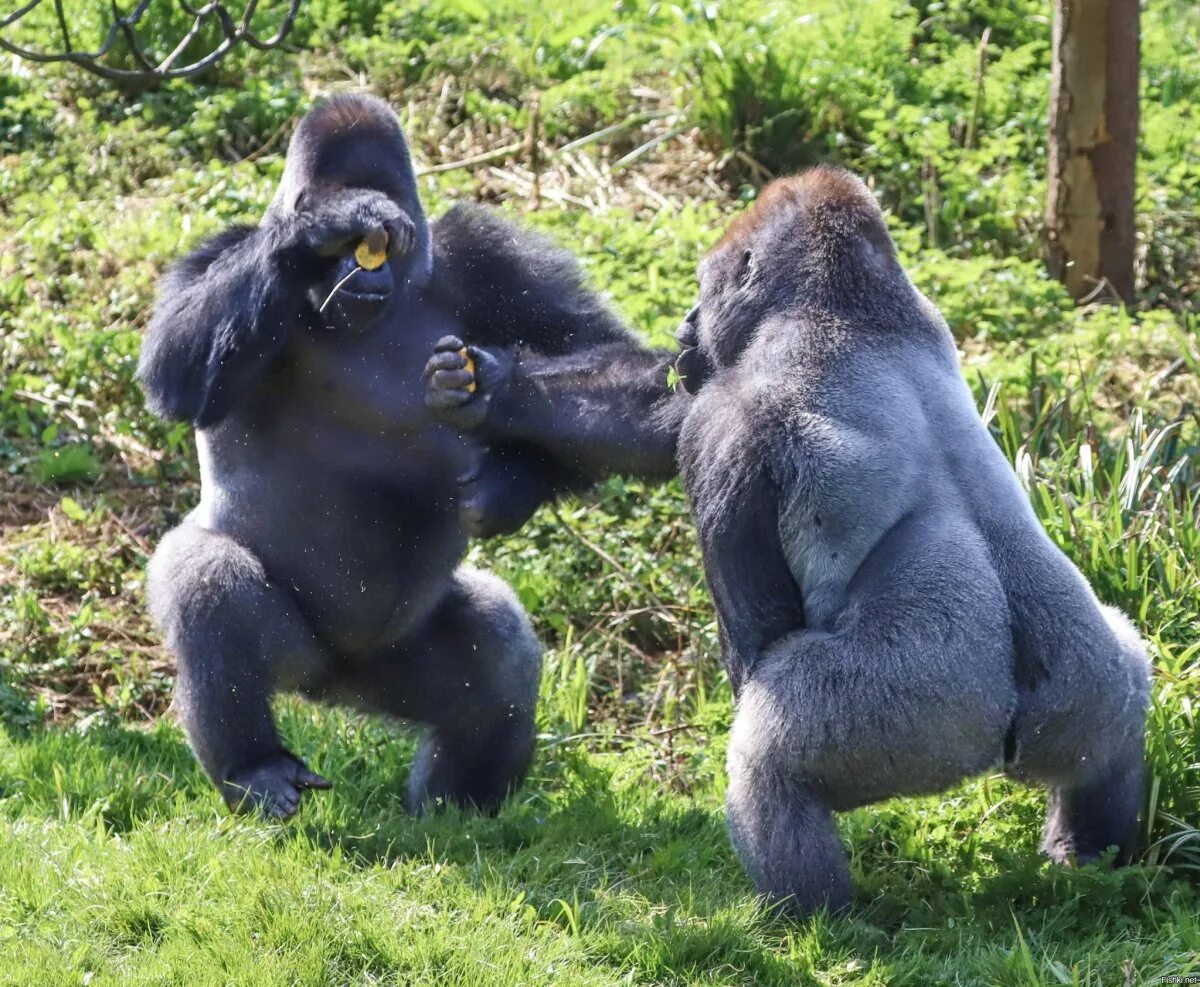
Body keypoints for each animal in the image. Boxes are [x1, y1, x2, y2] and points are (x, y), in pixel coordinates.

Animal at [137, 94, 681, 821]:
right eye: (341, 246)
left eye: (387, 246)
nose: (363, 269)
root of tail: (329, 683)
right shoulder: (216, 251)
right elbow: (175, 370)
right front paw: (316, 226)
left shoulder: (490, 254)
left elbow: (616, 364)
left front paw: (503, 465)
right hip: (301, 655)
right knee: (207, 578)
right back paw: (254, 765)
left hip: (390, 664)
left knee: (499, 649)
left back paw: (460, 805)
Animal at [672, 168, 1147, 922]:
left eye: (707, 288)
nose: (686, 325)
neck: (840, 303)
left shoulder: (718, 423)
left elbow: (756, 631)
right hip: (1091, 687)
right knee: (1121, 714)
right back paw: (1090, 859)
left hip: (918, 718)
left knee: (769, 763)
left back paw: (812, 918)